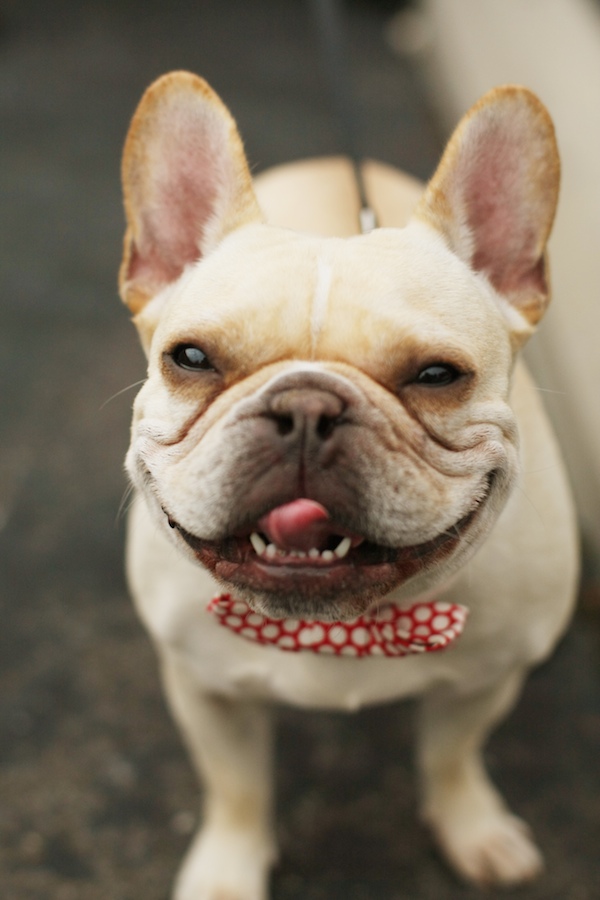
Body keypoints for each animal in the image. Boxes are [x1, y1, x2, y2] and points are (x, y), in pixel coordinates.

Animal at [118, 74, 580, 896]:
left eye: (437, 375)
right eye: (191, 358)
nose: (305, 407)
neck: (348, 626)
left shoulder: (485, 681)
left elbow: (453, 755)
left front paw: (472, 827)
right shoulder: (206, 690)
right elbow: (236, 788)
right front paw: (227, 872)